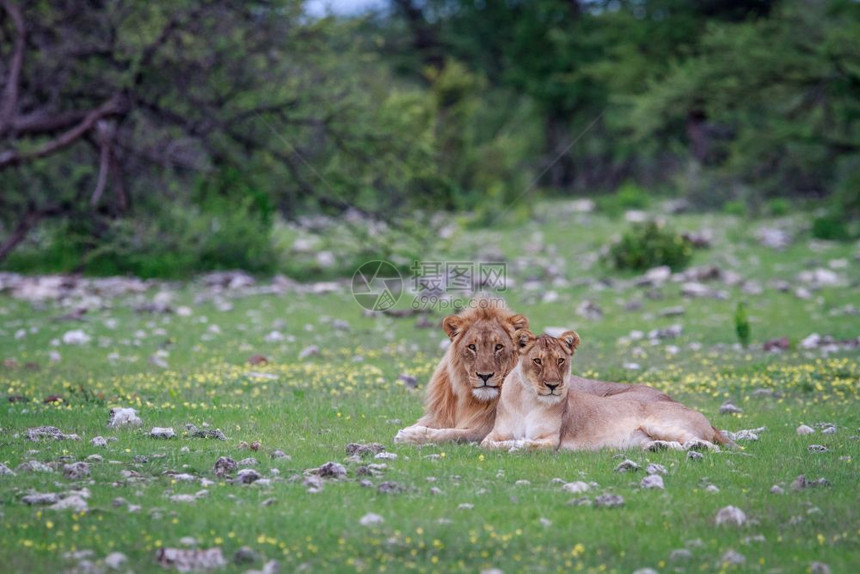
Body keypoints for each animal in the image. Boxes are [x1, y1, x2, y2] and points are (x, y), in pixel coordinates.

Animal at [394, 300, 528, 448]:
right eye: (472, 347)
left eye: (498, 347)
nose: (485, 376)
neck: (473, 401)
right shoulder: (441, 416)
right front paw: (408, 430)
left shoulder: (488, 430)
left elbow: (453, 434)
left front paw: (409, 435)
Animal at [480, 332, 728, 454]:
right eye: (537, 361)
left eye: (560, 360)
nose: (553, 386)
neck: (527, 400)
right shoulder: (493, 435)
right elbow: (487, 444)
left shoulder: (551, 440)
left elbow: (527, 442)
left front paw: (517, 445)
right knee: (674, 445)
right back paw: (657, 447)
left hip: (658, 423)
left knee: (707, 445)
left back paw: (698, 447)